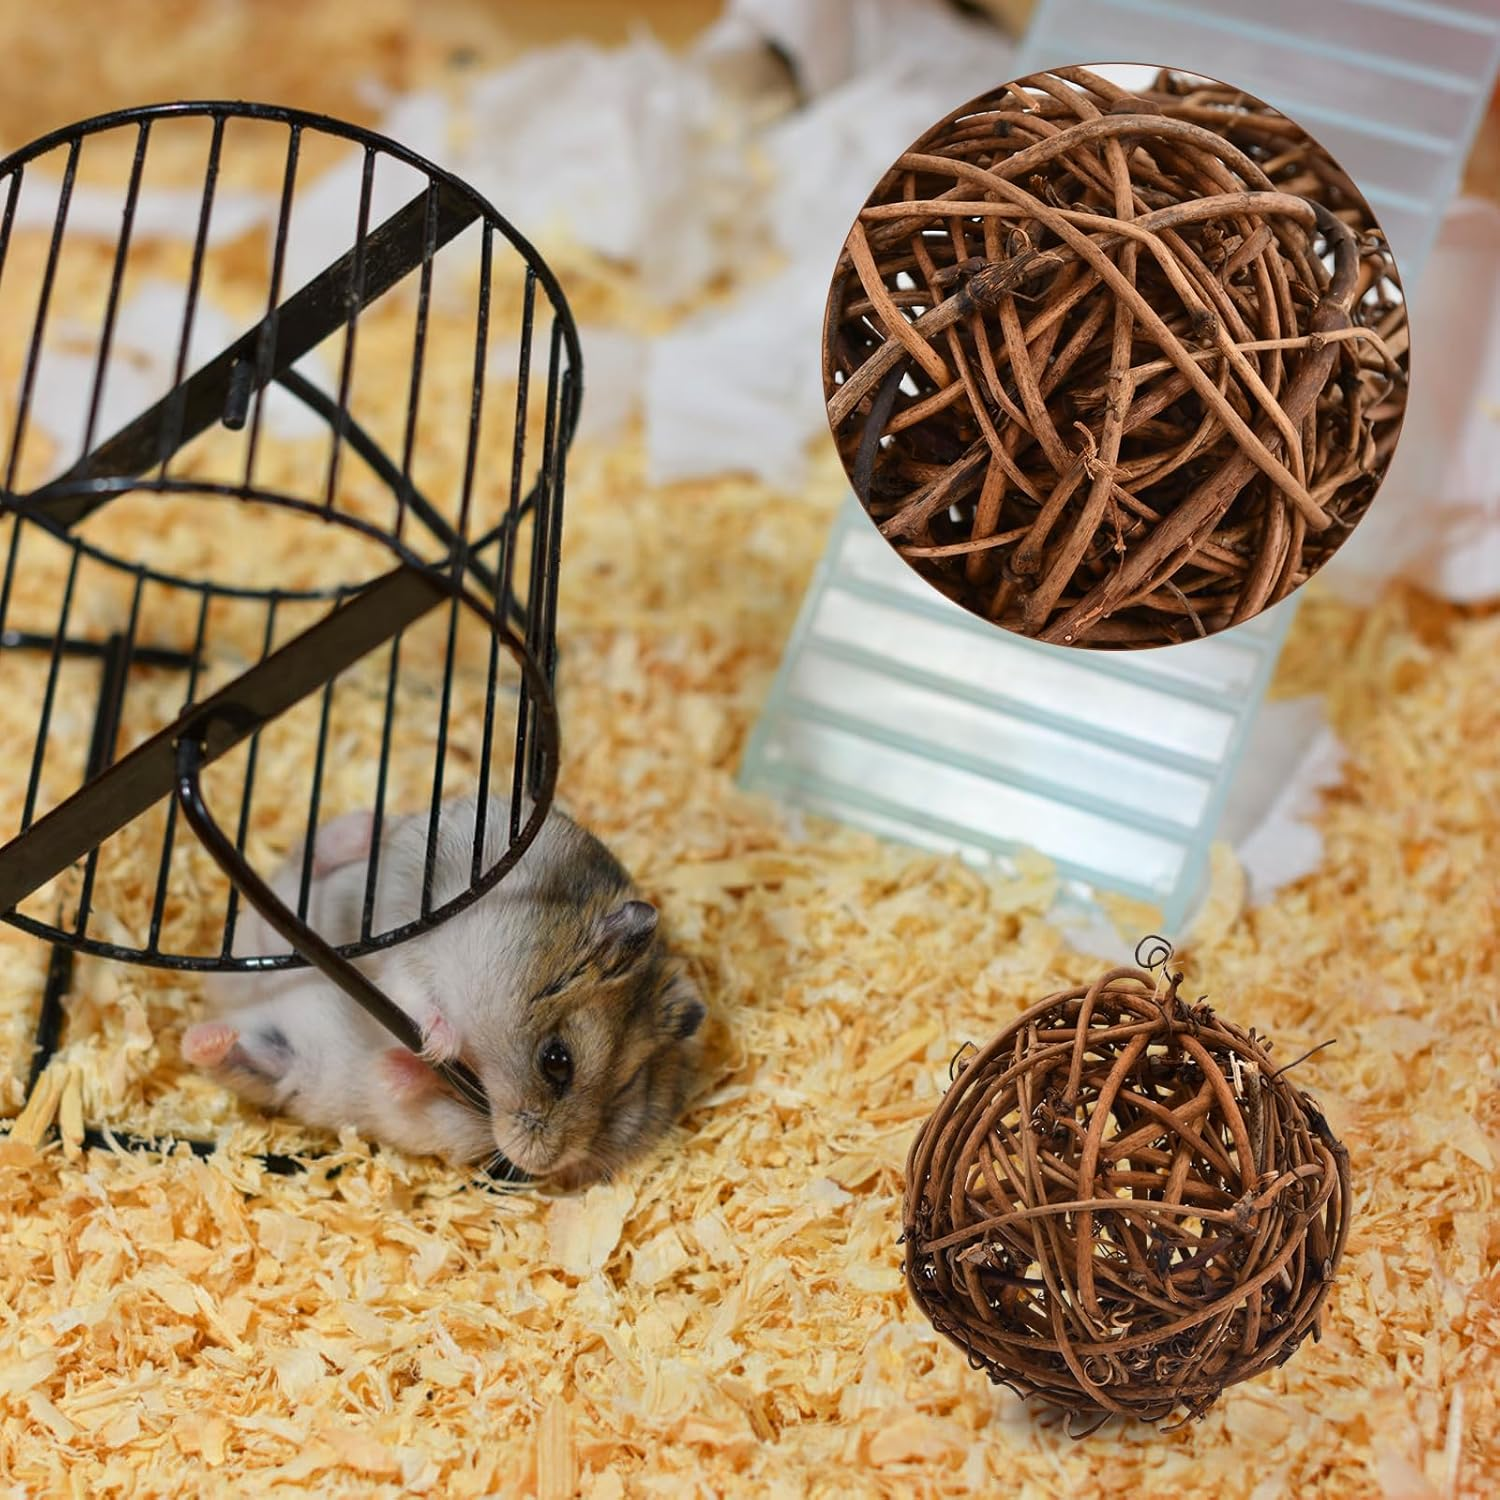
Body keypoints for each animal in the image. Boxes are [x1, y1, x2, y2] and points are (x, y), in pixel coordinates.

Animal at [183, 796, 706, 1188]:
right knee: (301, 870)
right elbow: (418, 998)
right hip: (284, 927)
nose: (542, 1164)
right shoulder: (410, 959)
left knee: (230, 1054)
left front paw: (397, 1069)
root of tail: (224, 1000)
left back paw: (204, 1039)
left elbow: (415, 1090)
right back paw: (364, 827)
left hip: (277, 1058)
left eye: (625, 1090)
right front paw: (440, 1042)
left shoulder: (455, 1127)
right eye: (557, 1062)